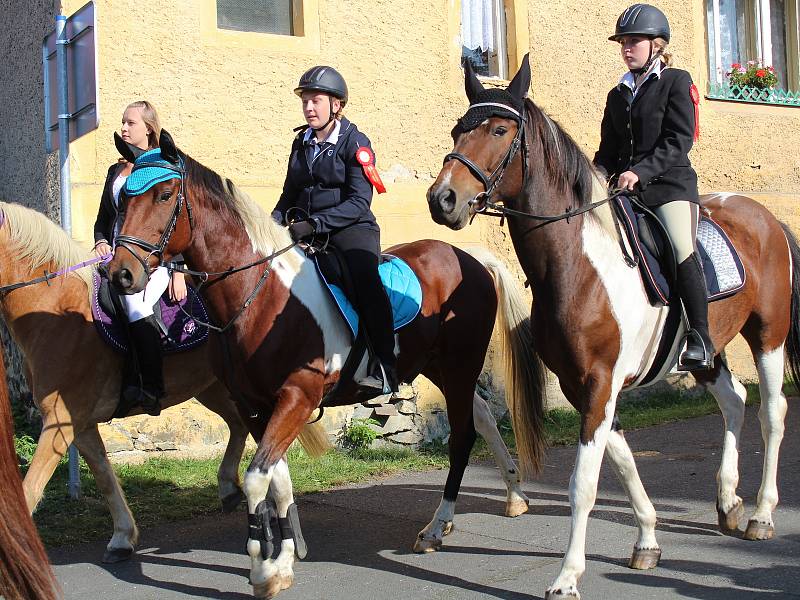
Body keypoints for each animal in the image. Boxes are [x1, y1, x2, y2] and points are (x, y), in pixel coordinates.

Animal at [0, 202, 328, 568]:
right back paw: (233, 490)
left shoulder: (62, 421)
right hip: (214, 387)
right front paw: (122, 537)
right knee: (241, 426)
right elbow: (104, 475)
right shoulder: (78, 424)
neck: (55, 305)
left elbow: (30, 491)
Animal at [101, 132, 544, 600]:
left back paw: (437, 528)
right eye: (123, 199)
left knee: (463, 435)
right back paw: (514, 496)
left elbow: (257, 480)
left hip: (459, 365)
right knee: (483, 416)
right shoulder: (256, 407)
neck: (263, 295)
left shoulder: (297, 398)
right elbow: (276, 480)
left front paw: (263, 571)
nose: (122, 275)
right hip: (438, 367)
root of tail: (469, 257)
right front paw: (281, 562)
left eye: (165, 195)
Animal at [432, 56, 800, 600]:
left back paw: (761, 514)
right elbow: (623, 462)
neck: (578, 265)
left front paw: (567, 576)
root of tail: (763, 215)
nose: (442, 199)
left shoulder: (600, 383)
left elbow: (584, 484)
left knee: (772, 412)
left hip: (767, 335)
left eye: (499, 130)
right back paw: (729, 501)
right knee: (734, 402)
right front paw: (647, 539)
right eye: (459, 128)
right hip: (707, 351)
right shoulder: (582, 385)